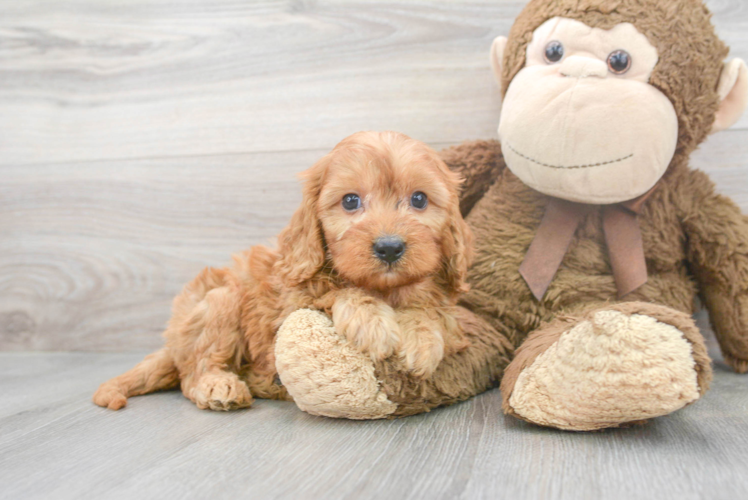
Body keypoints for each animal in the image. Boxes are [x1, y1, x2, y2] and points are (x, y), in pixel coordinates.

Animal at [90, 131, 470, 412]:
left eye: (419, 199)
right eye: (350, 201)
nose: (389, 247)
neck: (385, 289)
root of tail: (171, 341)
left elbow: (432, 311)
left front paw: (421, 338)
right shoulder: (291, 299)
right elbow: (335, 290)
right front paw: (372, 320)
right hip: (220, 302)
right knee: (193, 372)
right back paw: (220, 385)